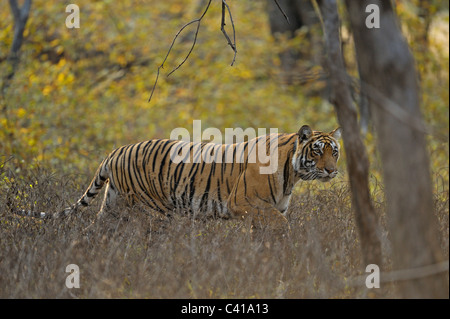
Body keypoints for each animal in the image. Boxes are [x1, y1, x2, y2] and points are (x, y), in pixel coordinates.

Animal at [21, 124, 342, 231]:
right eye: (317, 151)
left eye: (334, 152)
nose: (331, 170)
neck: (293, 173)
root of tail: (116, 151)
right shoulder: (245, 204)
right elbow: (283, 226)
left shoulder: (267, 210)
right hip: (152, 210)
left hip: (114, 206)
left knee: (93, 231)